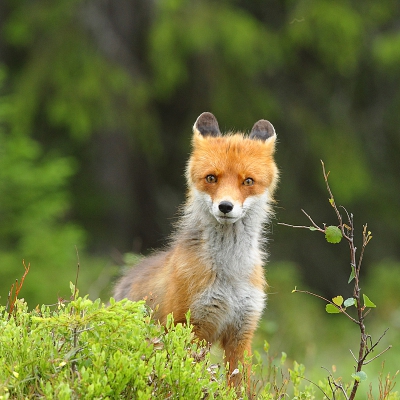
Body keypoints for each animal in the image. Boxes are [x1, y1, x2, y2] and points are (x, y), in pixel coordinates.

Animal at [112, 111, 278, 388]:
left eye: (248, 181)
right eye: (211, 178)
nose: (225, 206)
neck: (229, 274)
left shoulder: (242, 332)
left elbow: (241, 385)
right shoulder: (191, 327)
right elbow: (190, 380)